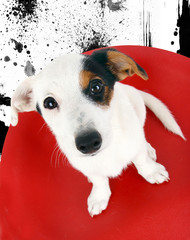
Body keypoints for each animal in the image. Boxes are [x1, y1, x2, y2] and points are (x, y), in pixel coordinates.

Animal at [10, 47, 186, 217]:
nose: (88, 143)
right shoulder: (84, 165)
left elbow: (140, 159)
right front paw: (99, 196)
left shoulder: (134, 142)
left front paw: (152, 172)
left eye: (96, 87)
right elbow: (98, 179)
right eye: (50, 103)